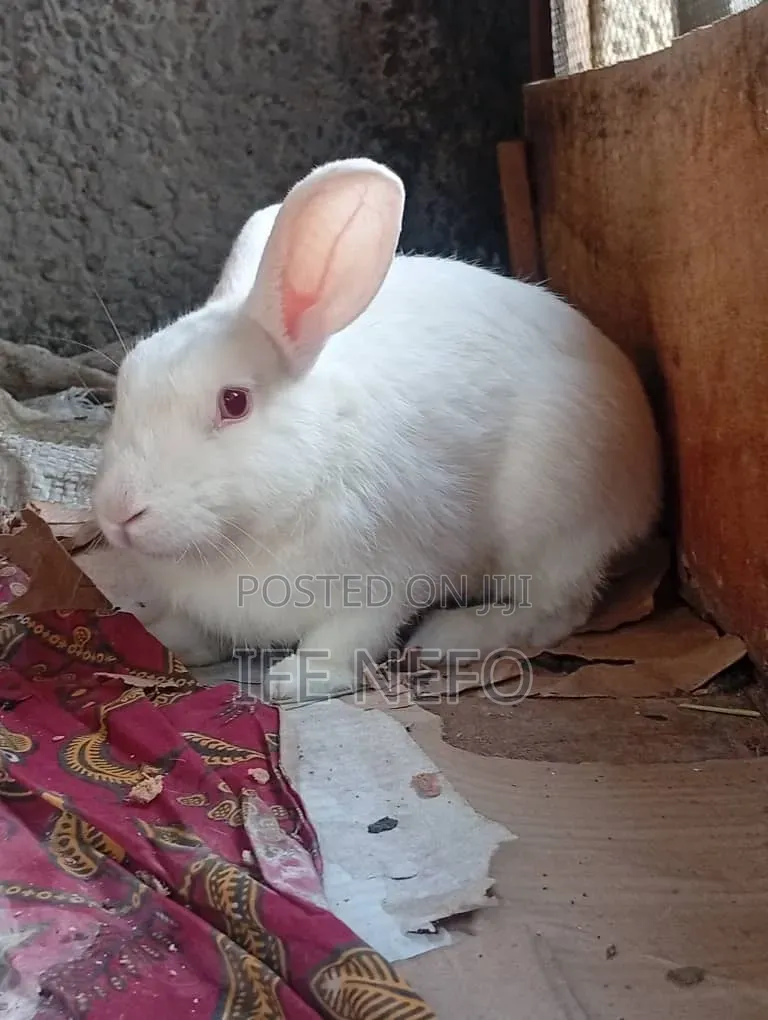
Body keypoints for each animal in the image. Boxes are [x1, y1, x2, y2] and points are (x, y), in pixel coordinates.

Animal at [79, 156, 662, 704]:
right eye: (125, 386)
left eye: (234, 402)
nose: (119, 514)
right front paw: (160, 636)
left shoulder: (382, 584)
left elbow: (343, 640)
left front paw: (294, 681)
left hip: (552, 522)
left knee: (555, 607)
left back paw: (449, 638)